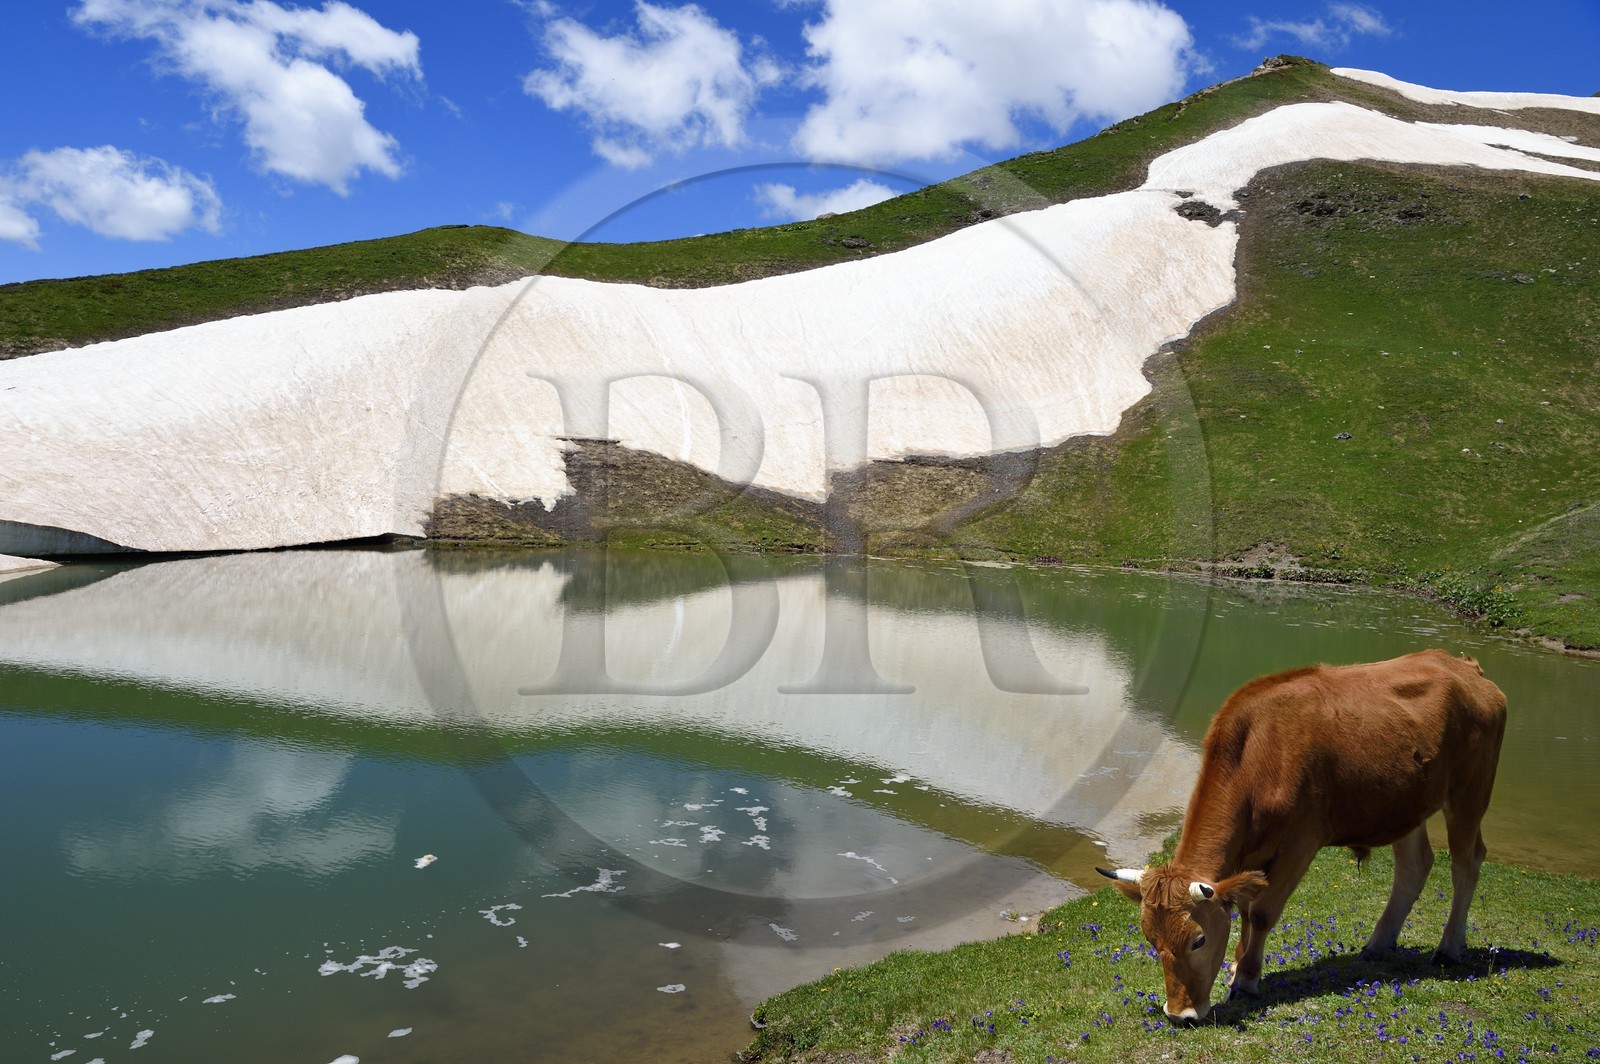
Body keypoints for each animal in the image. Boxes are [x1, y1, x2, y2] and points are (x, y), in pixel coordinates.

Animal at [1097, 648, 1506, 1025]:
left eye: (1198, 940)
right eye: (1151, 940)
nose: (1179, 1014)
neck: (1258, 752)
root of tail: (1461, 664)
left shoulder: (1302, 841)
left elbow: (1261, 913)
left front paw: (1246, 980)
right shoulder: (1250, 856)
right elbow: (1244, 909)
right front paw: (1237, 968)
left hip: (1470, 792)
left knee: (1466, 862)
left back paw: (1448, 948)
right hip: (1406, 804)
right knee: (1415, 865)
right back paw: (1378, 945)